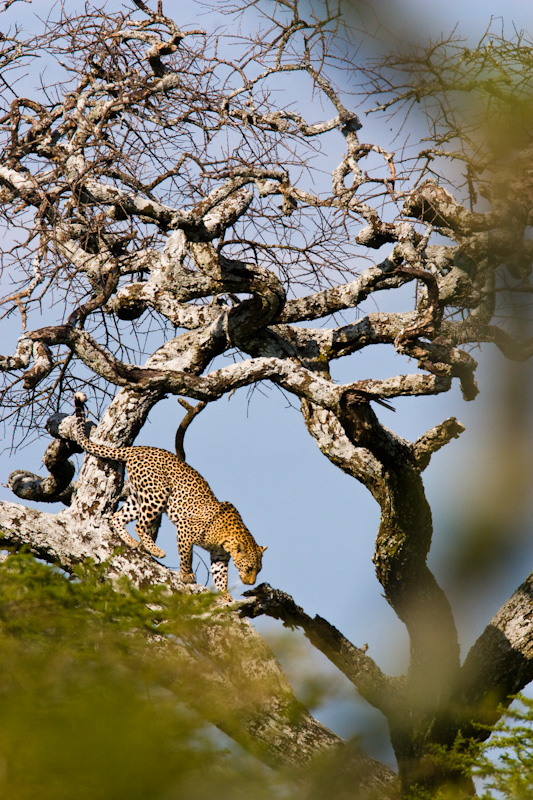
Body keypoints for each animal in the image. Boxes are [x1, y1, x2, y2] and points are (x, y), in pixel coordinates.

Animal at [74, 394, 264, 592]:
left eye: (258, 570)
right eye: (250, 568)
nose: (251, 582)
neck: (227, 541)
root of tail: (138, 448)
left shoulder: (219, 557)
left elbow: (221, 577)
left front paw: (225, 595)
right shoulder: (185, 529)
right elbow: (187, 555)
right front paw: (187, 576)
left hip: (138, 496)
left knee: (117, 516)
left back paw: (130, 541)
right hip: (157, 495)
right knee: (140, 525)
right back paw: (155, 550)